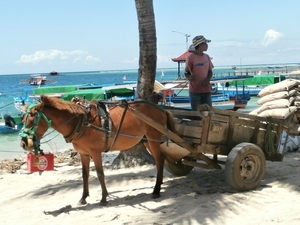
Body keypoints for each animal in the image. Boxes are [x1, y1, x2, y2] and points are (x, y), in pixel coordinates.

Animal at [19, 95, 178, 206]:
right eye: (22, 119)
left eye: (32, 119)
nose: (23, 143)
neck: (80, 121)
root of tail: (162, 109)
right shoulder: (83, 154)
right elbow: (85, 175)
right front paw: (83, 197)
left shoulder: (95, 153)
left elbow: (100, 174)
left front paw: (103, 198)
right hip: (147, 141)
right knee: (160, 160)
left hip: (153, 138)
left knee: (159, 161)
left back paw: (156, 190)